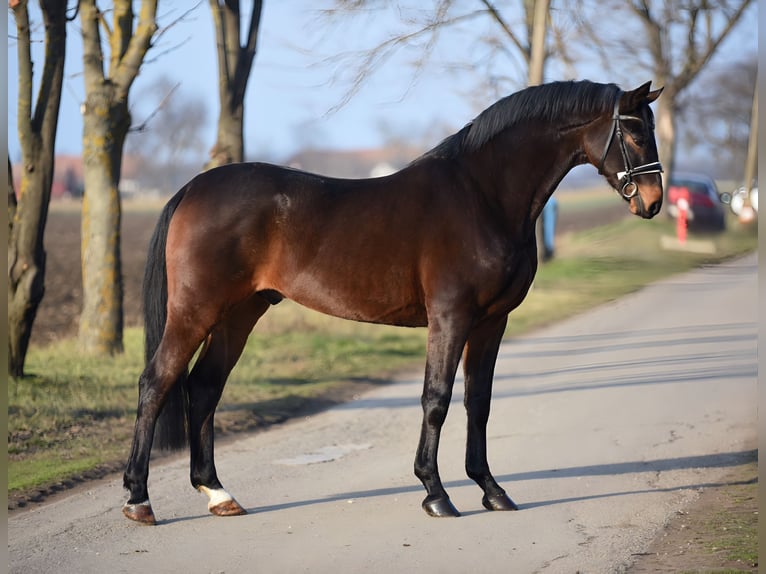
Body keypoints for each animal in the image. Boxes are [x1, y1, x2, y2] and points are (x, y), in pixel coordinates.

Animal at [123, 81, 664, 528]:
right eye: (634, 132)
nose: (654, 200)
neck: (482, 195)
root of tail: (192, 188)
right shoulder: (450, 318)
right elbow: (436, 400)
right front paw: (436, 494)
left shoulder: (491, 323)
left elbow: (479, 402)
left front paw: (491, 490)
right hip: (196, 311)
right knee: (156, 383)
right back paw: (139, 500)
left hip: (240, 313)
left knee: (203, 387)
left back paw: (217, 494)